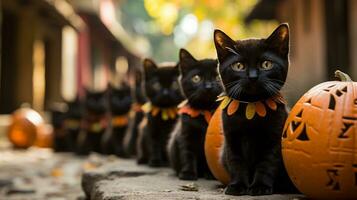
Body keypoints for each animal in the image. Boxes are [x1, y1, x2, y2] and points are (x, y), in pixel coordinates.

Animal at [166, 49, 221, 180]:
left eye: (217, 77)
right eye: (196, 78)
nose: (208, 86)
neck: (204, 111)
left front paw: (210, 174)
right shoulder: (185, 135)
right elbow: (187, 154)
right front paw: (188, 173)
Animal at [213, 23, 296, 195]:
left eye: (266, 64)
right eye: (238, 66)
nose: (252, 77)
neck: (251, 108)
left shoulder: (273, 139)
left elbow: (266, 164)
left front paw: (260, 186)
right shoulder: (232, 139)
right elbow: (236, 163)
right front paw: (237, 186)